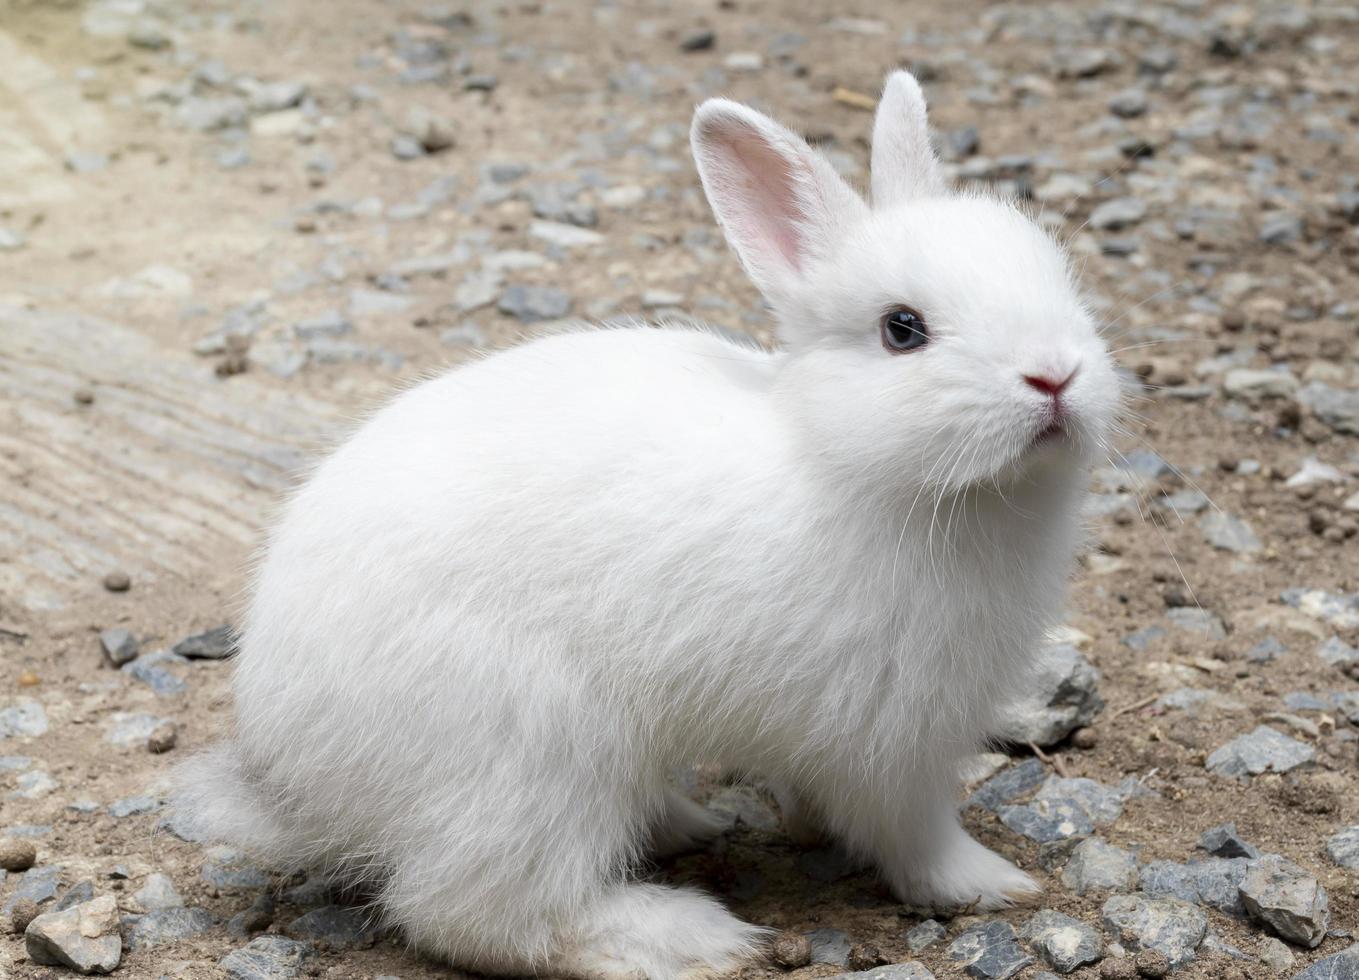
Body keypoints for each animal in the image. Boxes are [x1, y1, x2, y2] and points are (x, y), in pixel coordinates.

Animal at [178, 70, 1114, 978]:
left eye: (1059, 278)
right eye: (902, 330)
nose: (1055, 375)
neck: (846, 461)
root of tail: (291, 772)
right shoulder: (888, 737)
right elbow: (911, 832)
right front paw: (992, 885)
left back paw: (686, 827)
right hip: (533, 756)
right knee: (475, 916)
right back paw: (685, 939)